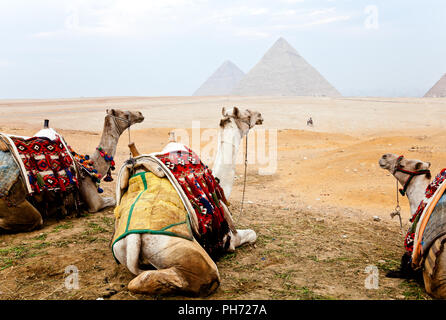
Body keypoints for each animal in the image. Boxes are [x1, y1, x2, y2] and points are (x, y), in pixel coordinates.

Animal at [0, 109, 143, 232]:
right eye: (125, 114)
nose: (140, 114)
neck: (89, 167)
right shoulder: (93, 201)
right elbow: (112, 201)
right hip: (12, 197)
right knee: (33, 219)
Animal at [111, 107, 264, 296]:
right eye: (247, 113)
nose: (260, 116)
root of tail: (133, 239)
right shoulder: (229, 236)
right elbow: (252, 234)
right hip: (181, 252)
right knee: (204, 277)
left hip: (123, 251)